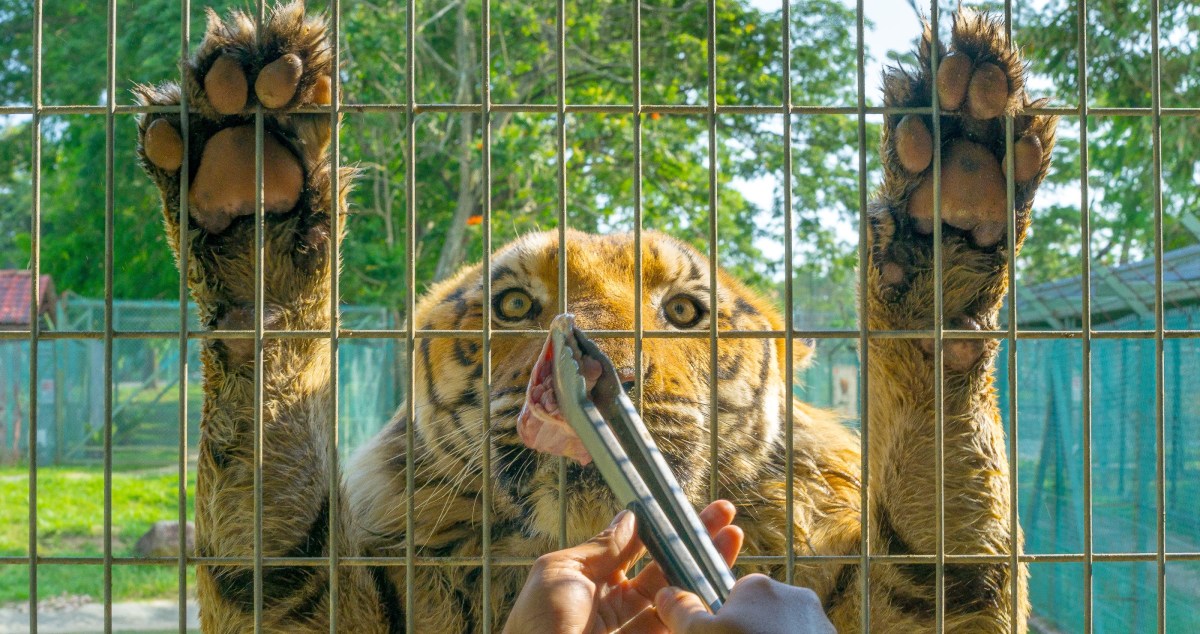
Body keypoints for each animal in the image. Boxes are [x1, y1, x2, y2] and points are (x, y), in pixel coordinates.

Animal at [133, 2, 1057, 632]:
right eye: (515, 305)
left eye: (683, 311)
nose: (591, 364)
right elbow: (273, 517)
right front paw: (256, 228)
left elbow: (942, 525)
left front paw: (947, 216)